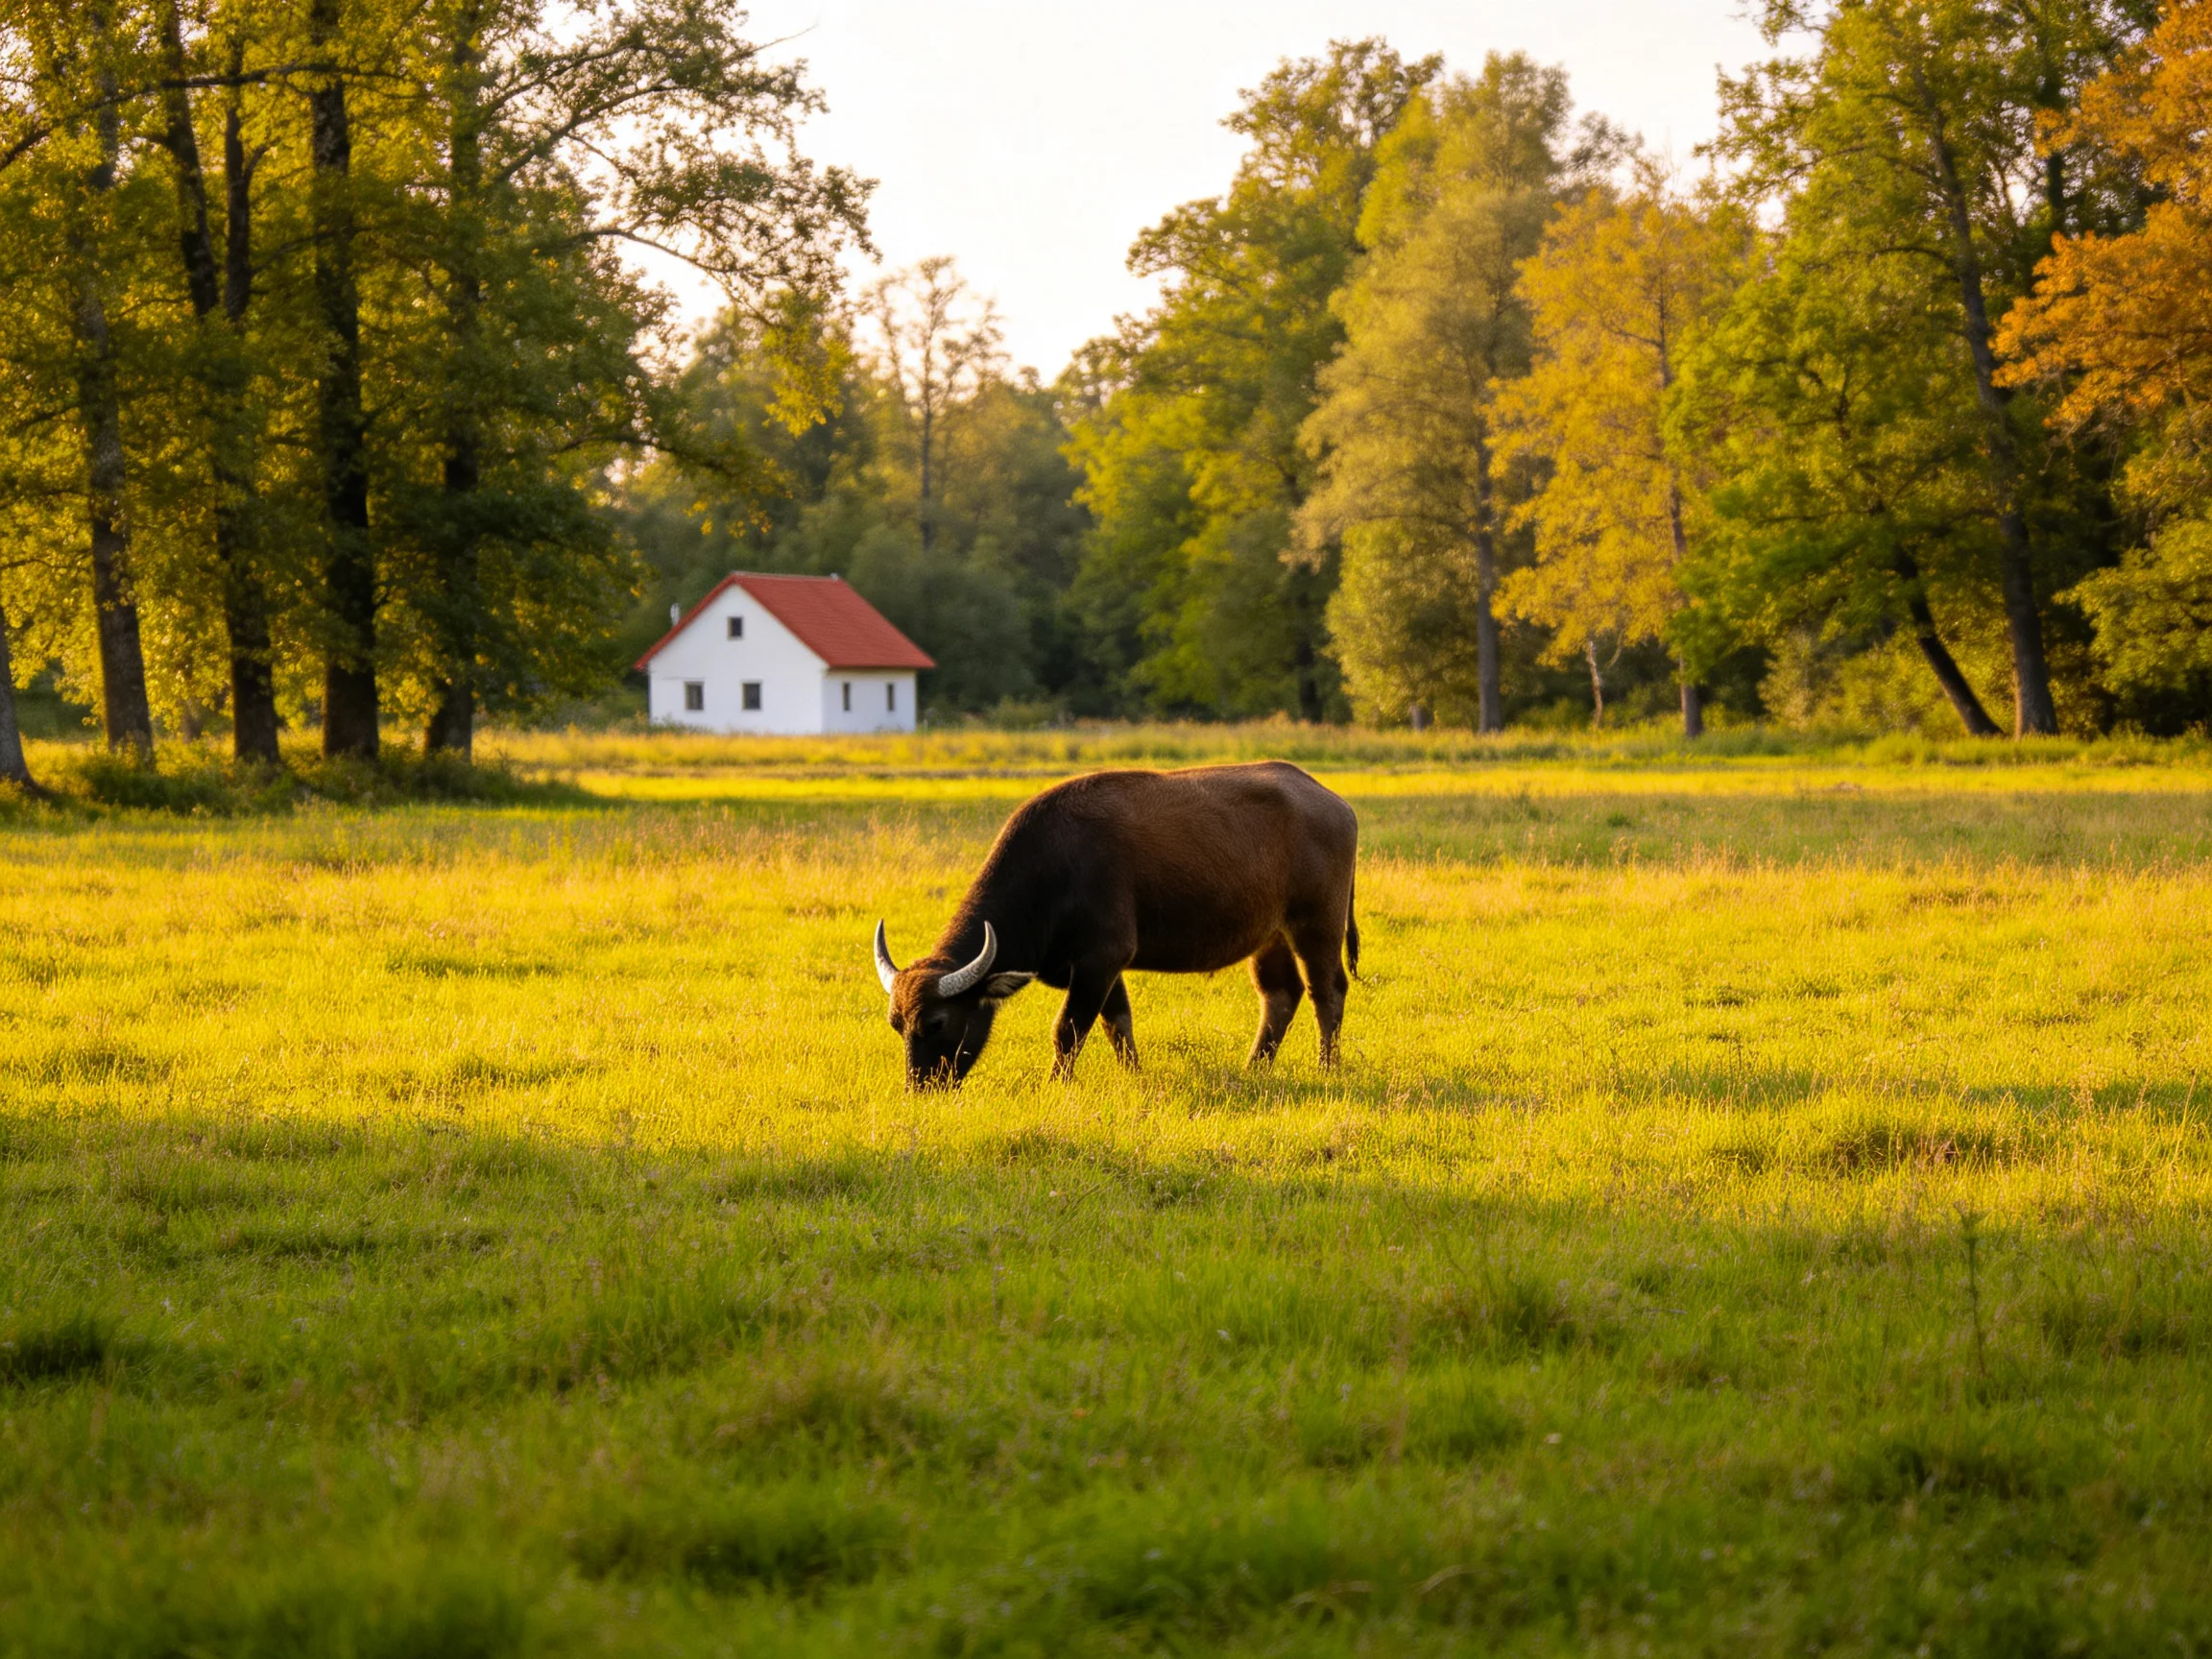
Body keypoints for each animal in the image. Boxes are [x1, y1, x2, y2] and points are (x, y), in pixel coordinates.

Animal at [871, 761, 1359, 1088]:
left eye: (936, 1022)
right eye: (896, 1023)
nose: (921, 1087)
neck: (1052, 871)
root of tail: (1335, 802)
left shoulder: (1100, 959)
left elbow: (1068, 1029)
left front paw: (1056, 1084)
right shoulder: (1102, 968)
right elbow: (1117, 1024)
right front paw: (1134, 1074)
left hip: (1317, 924)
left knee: (1327, 990)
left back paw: (1327, 1067)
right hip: (1269, 936)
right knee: (1281, 994)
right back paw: (1254, 1066)